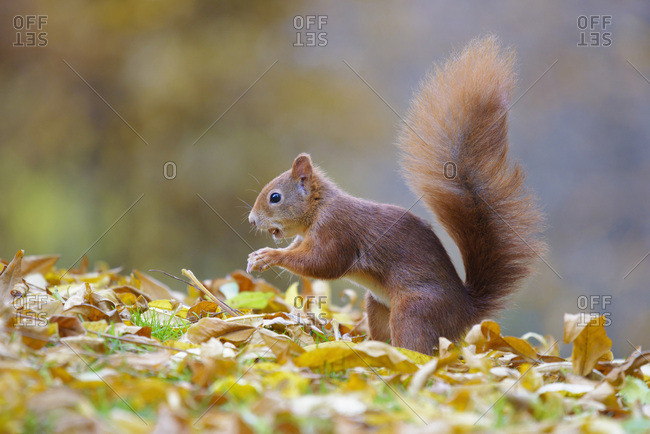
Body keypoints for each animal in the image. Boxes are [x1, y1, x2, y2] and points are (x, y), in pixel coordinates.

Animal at [246, 36, 545, 355]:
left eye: (275, 197)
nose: (252, 220)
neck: (318, 209)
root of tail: (465, 312)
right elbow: (300, 251)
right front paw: (257, 257)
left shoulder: (337, 230)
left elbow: (322, 263)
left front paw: (270, 256)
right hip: (378, 306)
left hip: (414, 311)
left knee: (416, 347)